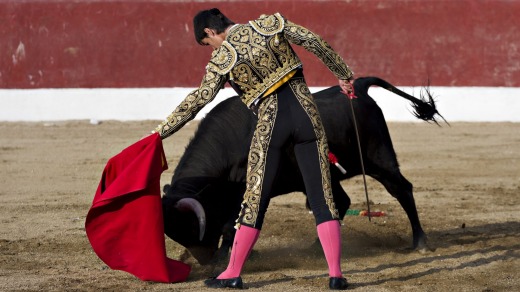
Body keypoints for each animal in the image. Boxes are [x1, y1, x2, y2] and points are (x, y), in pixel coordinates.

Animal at [161, 76, 442, 264]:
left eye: (192, 227)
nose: (203, 260)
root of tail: (359, 88)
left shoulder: (249, 190)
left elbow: (231, 224)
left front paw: (223, 259)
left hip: (379, 158)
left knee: (402, 189)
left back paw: (420, 243)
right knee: (341, 201)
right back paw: (317, 247)